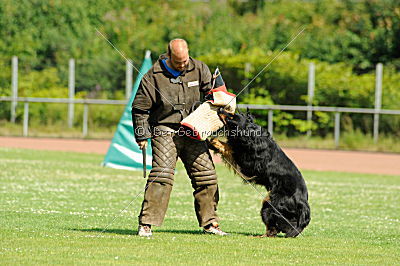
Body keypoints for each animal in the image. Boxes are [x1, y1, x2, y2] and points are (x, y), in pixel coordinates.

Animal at [208, 109, 310, 238]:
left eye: (231, 116)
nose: (220, 109)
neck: (250, 133)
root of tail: (303, 204)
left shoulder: (248, 164)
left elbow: (230, 148)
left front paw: (213, 141)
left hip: (270, 204)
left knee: (272, 230)